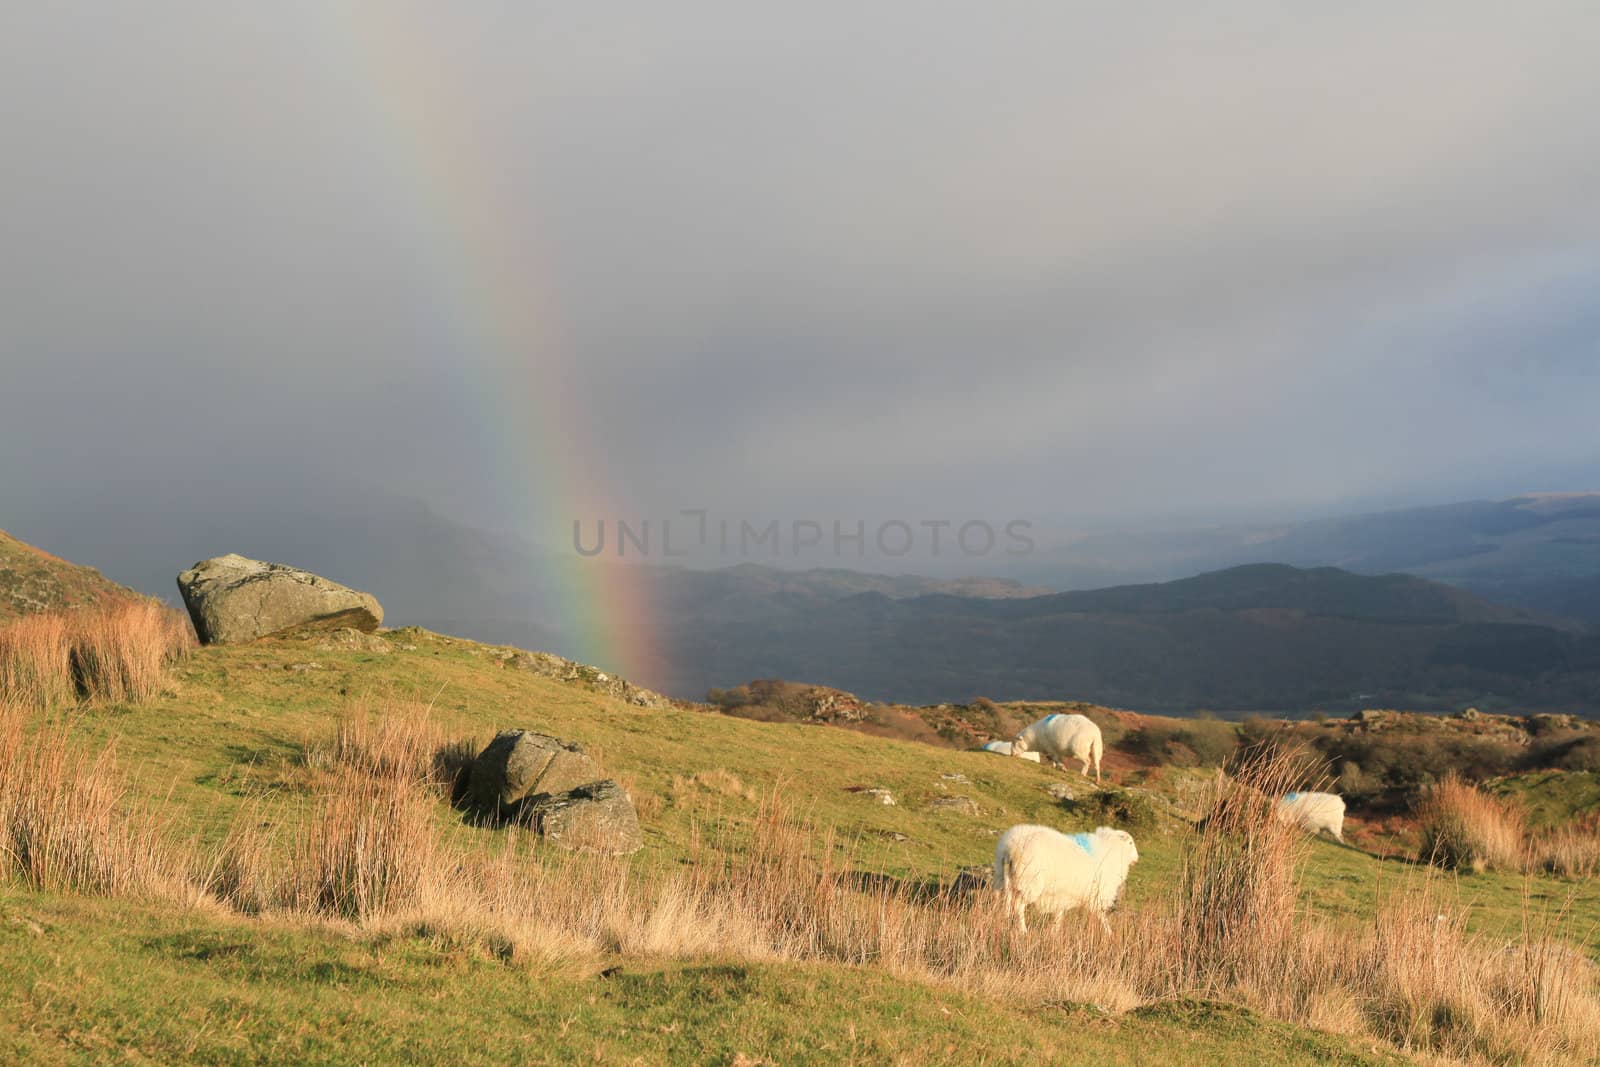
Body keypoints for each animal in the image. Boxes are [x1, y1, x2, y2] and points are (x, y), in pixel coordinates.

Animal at [985, 825, 1139, 927]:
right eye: (1131, 843)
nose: (1137, 859)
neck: (1111, 850)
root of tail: (1010, 849)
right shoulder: (1095, 896)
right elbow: (1102, 917)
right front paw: (1109, 935)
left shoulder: (1062, 894)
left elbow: (1059, 915)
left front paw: (1055, 933)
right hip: (1029, 883)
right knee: (1018, 907)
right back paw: (1023, 931)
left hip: (1001, 877)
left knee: (997, 898)